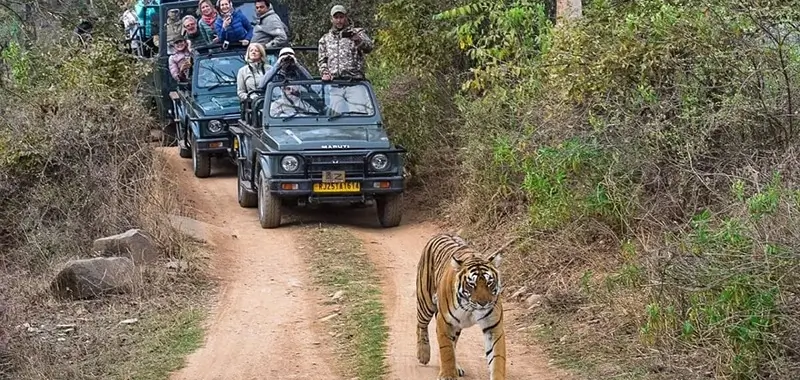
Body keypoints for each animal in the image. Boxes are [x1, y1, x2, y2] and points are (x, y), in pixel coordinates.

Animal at [416, 232, 510, 380]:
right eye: (472, 284)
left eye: (489, 282)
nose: (483, 303)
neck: (471, 308)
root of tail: (442, 233)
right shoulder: (445, 322)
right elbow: (447, 351)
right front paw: (448, 375)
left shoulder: (493, 327)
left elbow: (497, 358)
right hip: (425, 302)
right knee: (420, 326)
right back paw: (423, 354)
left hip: (456, 326)